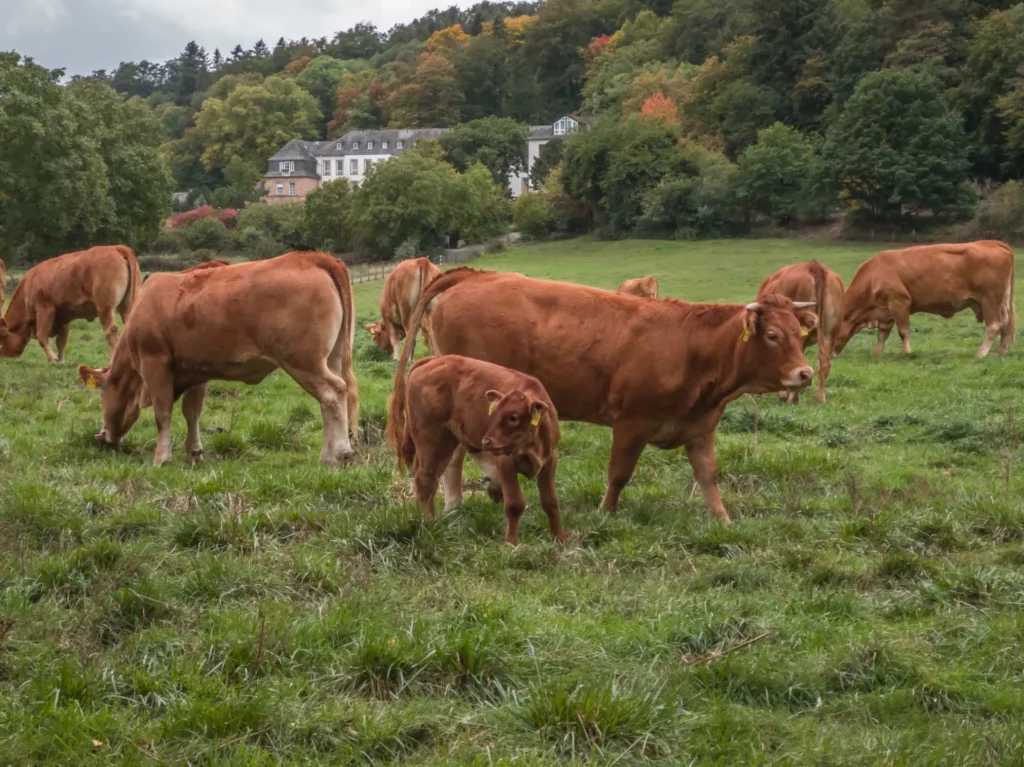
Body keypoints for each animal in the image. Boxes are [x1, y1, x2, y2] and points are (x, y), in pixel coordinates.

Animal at [0, 245, 141, 363]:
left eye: (1, 340)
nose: (3, 356)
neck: (28, 285)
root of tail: (116, 248)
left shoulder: (44, 309)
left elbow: (42, 337)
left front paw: (53, 359)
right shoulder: (64, 316)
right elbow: (61, 341)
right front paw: (61, 361)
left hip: (105, 308)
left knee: (110, 331)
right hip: (127, 307)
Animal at [76, 251, 360, 468]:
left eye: (101, 396)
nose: (101, 438)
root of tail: (311, 257)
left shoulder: (155, 364)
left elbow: (162, 413)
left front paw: (161, 458)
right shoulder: (197, 372)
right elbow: (192, 412)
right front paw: (194, 453)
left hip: (303, 361)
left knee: (332, 393)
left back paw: (338, 453)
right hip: (331, 358)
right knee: (336, 396)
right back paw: (330, 453)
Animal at [387, 354, 565, 545]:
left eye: (513, 417)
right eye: (492, 413)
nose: (487, 441)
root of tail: (434, 359)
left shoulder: (550, 460)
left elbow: (550, 501)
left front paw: (559, 537)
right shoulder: (506, 462)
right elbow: (514, 504)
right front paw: (511, 542)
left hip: (446, 443)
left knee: (429, 478)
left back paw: (424, 517)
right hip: (430, 439)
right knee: (425, 478)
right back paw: (429, 523)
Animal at [399, 268, 817, 523]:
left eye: (800, 335)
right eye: (773, 335)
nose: (805, 374)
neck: (691, 346)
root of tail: (476, 275)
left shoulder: (700, 427)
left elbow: (708, 476)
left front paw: (722, 519)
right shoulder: (632, 422)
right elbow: (619, 474)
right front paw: (605, 512)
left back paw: (457, 501)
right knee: (455, 454)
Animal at [834, 241, 1016, 359]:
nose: (831, 354)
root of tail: (991, 243)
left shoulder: (899, 302)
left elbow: (903, 331)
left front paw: (906, 353)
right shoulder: (886, 311)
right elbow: (882, 334)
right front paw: (877, 354)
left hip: (990, 300)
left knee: (995, 325)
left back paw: (981, 353)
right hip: (1001, 302)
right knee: (1007, 324)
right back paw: (1001, 352)